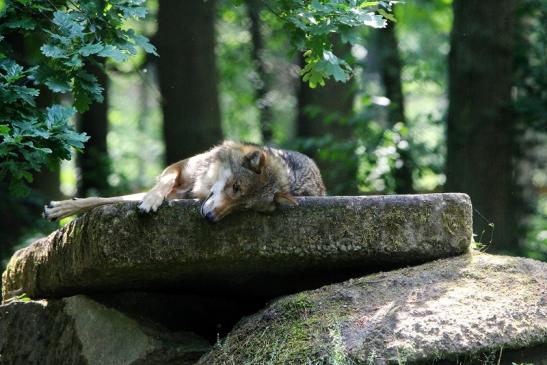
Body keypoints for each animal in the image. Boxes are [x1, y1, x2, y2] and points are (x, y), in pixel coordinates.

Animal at [44, 141, 326, 222]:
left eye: (245, 208)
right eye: (235, 187)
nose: (211, 218)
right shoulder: (179, 169)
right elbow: (103, 199)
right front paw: (61, 208)